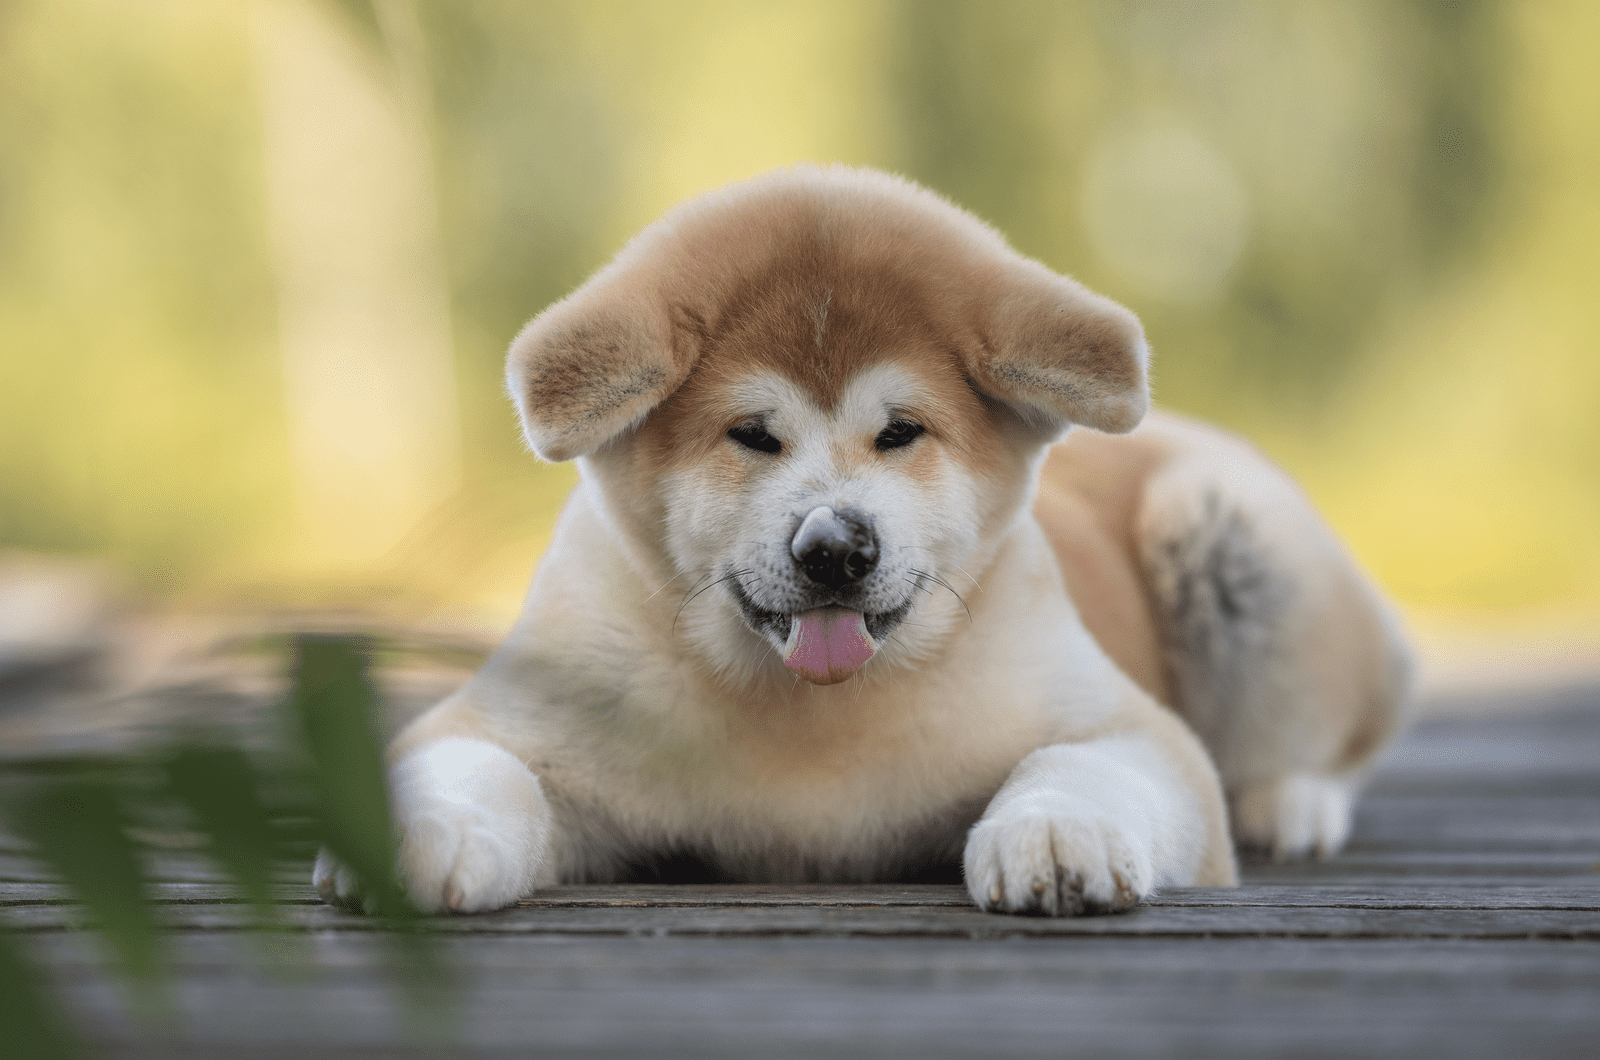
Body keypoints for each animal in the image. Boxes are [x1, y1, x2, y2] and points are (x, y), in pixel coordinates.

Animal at [312, 161, 1414, 915]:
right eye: (754, 435)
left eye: (900, 433)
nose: (835, 545)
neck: (817, 721)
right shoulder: (516, 716)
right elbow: (465, 765)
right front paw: (415, 835)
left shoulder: (1130, 727)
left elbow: (1082, 765)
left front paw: (1058, 833)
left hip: (1229, 530)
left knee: (1333, 740)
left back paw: (1289, 805)